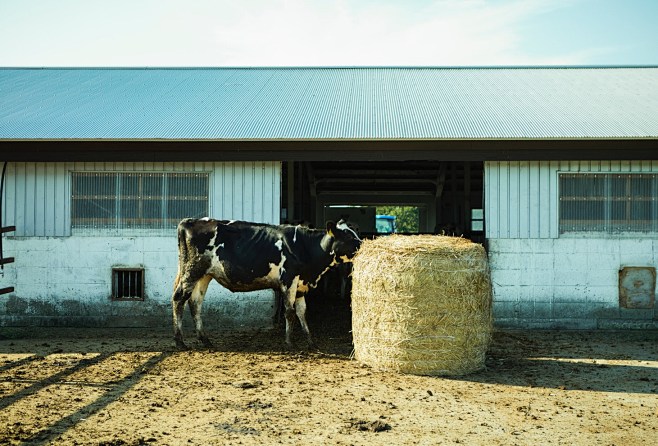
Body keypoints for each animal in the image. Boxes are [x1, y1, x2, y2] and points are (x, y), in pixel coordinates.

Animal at [172, 218, 362, 350]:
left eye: (355, 232)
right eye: (348, 236)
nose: (364, 243)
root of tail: (189, 221)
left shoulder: (301, 285)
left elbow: (302, 312)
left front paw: (311, 342)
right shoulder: (289, 279)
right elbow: (289, 312)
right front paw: (289, 343)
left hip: (204, 275)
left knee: (195, 303)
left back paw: (204, 340)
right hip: (192, 271)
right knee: (179, 299)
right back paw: (179, 342)